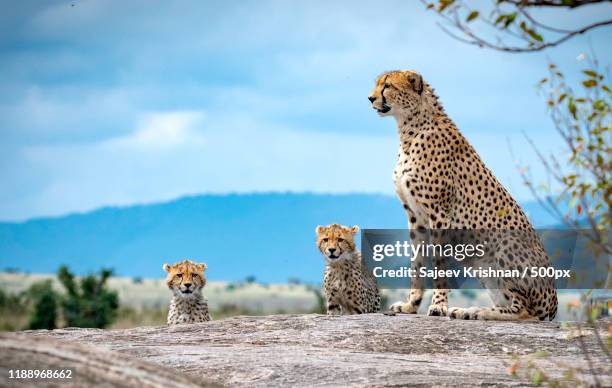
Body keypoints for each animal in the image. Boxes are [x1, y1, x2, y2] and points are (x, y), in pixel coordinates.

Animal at [368, 70, 560, 322]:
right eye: (377, 84)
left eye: (388, 86)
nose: (370, 98)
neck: (410, 129)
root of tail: (553, 305)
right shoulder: (414, 216)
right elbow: (416, 262)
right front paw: (411, 305)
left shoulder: (439, 214)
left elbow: (439, 263)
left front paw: (438, 306)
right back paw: (469, 311)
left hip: (505, 246)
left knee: (526, 312)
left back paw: (476, 311)